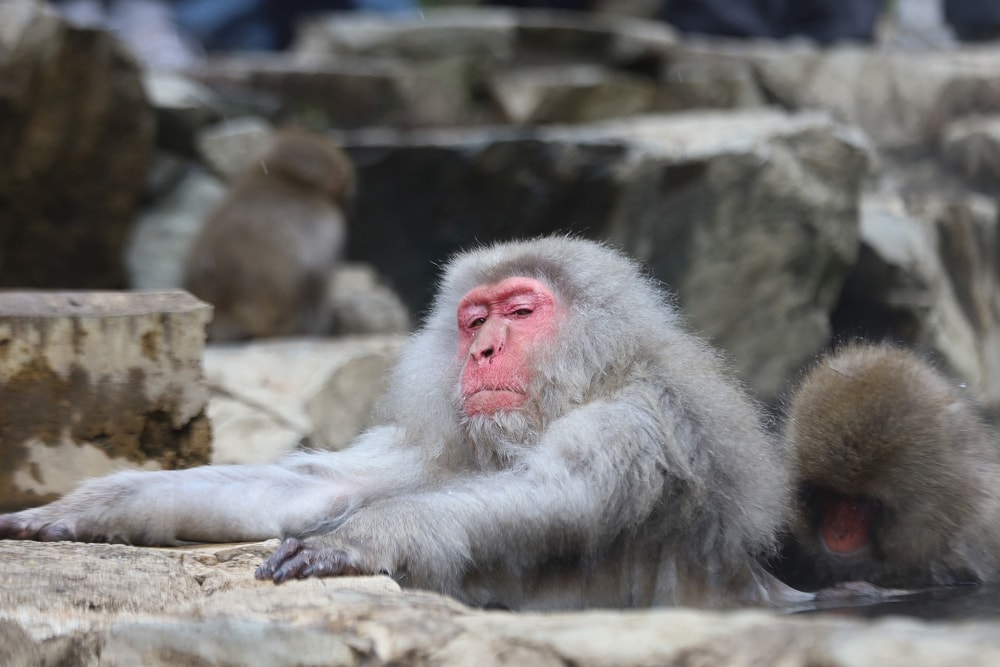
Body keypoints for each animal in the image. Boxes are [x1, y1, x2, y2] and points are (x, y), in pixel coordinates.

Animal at [0, 237, 802, 610]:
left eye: (520, 312)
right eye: (474, 318)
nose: (482, 350)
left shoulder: (636, 424)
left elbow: (554, 493)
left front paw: (363, 538)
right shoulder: (437, 446)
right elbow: (315, 488)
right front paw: (93, 506)